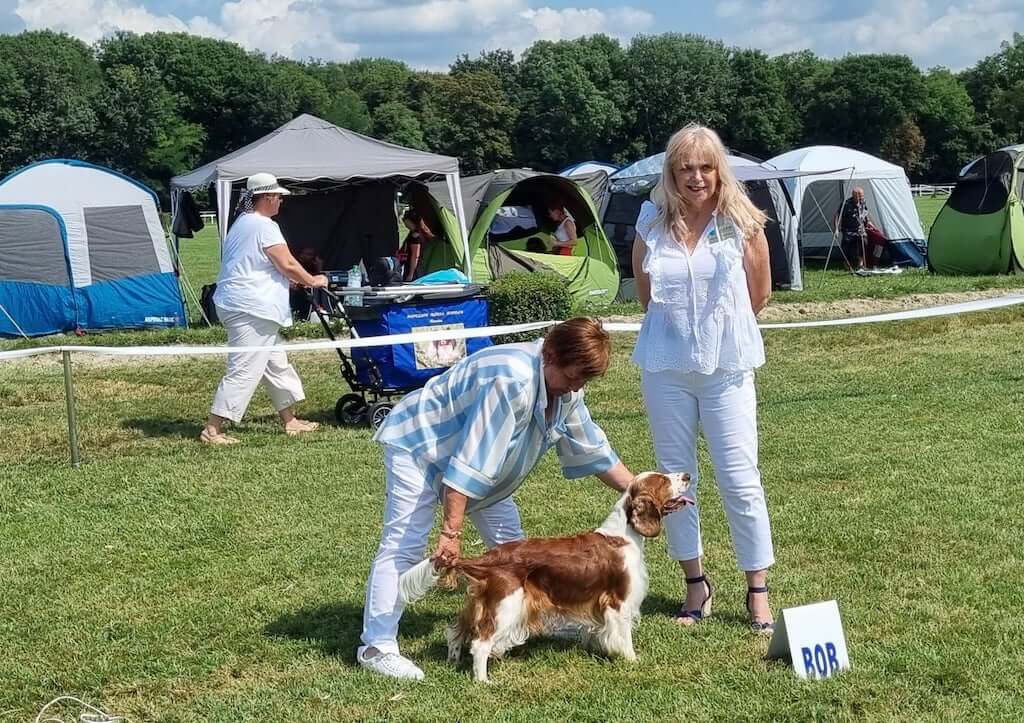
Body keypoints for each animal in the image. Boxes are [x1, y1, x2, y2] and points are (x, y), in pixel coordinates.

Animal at [401, 471, 696, 679]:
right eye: (663, 480)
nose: (687, 475)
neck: (622, 535)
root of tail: (488, 558)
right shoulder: (619, 603)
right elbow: (625, 637)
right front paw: (632, 661)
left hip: (480, 603)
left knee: (455, 631)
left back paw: (452, 661)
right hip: (507, 606)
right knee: (480, 644)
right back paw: (483, 681)